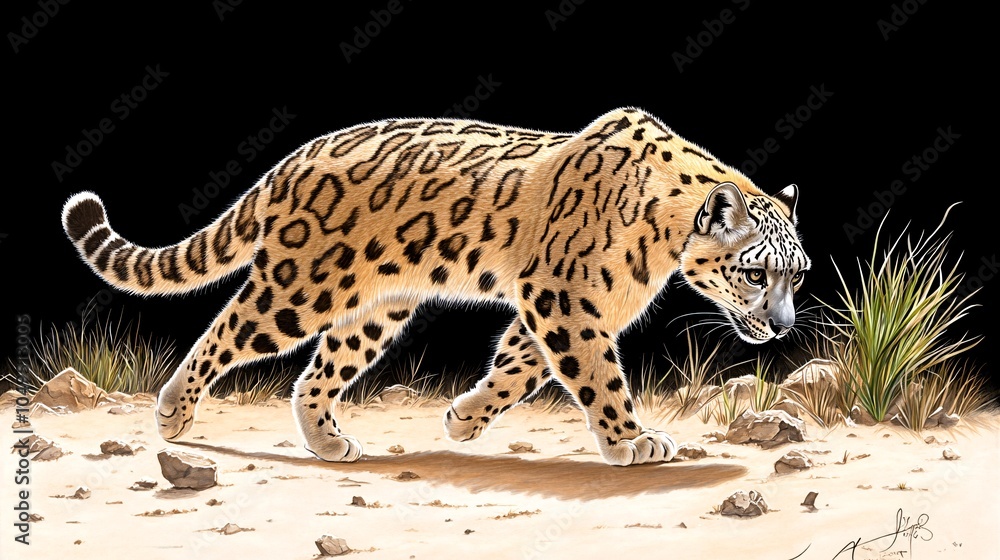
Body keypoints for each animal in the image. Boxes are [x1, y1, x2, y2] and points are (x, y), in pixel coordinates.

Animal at [61, 107, 810, 466]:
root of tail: (292, 160)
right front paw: (631, 441)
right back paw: (172, 414)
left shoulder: (559, 306)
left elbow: (517, 367)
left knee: (315, 376)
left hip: (378, 310)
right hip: (298, 289)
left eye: (797, 274)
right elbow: (597, 375)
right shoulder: (565, 299)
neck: (661, 242)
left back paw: (330, 444)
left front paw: (463, 419)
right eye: (755, 272)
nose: (783, 327)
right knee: (225, 329)